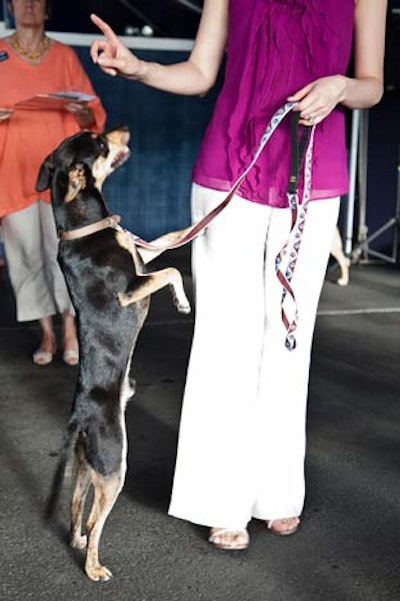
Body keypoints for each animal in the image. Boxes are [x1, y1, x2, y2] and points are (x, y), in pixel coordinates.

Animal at [36, 127, 191, 580]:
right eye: (99, 143)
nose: (123, 129)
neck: (86, 227)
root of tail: (79, 416)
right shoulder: (133, 286)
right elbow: (172, 270)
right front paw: (182, 303)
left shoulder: (142, 257)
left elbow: (168, 242)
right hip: (113, 466)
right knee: (94, 522)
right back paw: (93, 568)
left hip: (90, 466)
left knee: (76, 509)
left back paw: (77, 541)